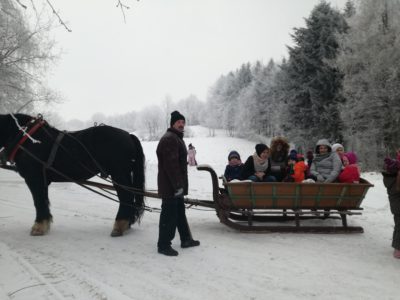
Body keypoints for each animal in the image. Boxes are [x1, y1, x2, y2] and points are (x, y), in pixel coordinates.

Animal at [0, 113, 145, 237]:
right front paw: (45, 224)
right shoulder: (42, 180)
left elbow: (38, 201)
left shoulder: (34, 178)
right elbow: (44, 201)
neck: (28, 139)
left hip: (119, 174)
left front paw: (38, 227)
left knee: (126, 197)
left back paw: (119, 226)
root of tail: (129, 135)